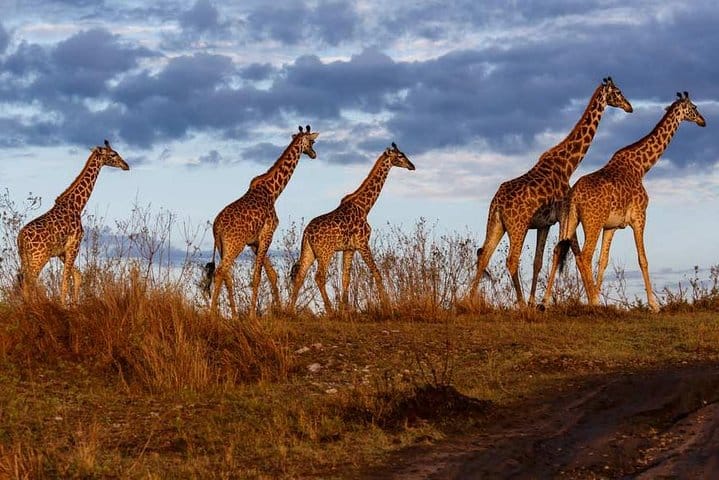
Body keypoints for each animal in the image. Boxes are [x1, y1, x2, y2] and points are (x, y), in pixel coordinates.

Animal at [17, 140, 130, 304]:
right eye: (113, 154)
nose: (126, 165)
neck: (77, 205)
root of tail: (20, 238)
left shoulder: (61, 251)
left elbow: (77, 276)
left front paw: (74, 305)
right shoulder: (74, 245)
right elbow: (65, 280)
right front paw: (64, 305)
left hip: (26, 257)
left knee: (24, 282)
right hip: (38, 257)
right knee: (29, 282)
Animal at [205, 125, 319, 318]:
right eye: (312, 141)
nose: (314, 154)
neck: (273, 191)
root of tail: (216, 227)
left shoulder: (254, 242)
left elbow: (271, 274)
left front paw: (279, 310)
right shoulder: (268, 233)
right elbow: (258, 276)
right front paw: (252, 316)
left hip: (222, 246)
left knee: (226, 274)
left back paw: (234, 315)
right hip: (234, 245)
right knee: (221, 271)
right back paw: (213, 314)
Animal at [288, 143, 415, 314]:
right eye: (400, 156)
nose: (412, 166)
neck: (365, 207)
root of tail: (306, 233)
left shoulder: (349, 248)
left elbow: (346, 278)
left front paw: (345, 310)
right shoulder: (362, 243)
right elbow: (376, 272)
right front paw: (386, 306)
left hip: (309, 251)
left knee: (300, 275)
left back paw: (289, 310)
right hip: (325, 252)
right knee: (319, 276)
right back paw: (329, 310)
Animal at [468, 77, 633, 307]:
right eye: (617, 92)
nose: (630, 107)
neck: (568, 164)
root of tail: (497, 203)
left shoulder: (544, 224)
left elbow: (539, 261)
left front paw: (534, 301)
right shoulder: (564, 216)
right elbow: (574, 252)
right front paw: (589, 299)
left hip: (496, 224)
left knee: (484, 255)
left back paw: (468, 300)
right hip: (518, 226)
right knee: (511, 260)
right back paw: (520, 306)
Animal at [541, 92, 706, 312]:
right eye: (694, 107)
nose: (703, 121)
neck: (642, 167)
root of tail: (574, 196)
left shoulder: (611, 226)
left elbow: (603, 261)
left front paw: (598, 295)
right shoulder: (639, 216)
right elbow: (642, 259)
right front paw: (654, 305)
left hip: (569, 220)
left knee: (559, 251)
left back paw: (545, 303)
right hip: (592, 222)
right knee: (584, 256)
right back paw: (593, 302)